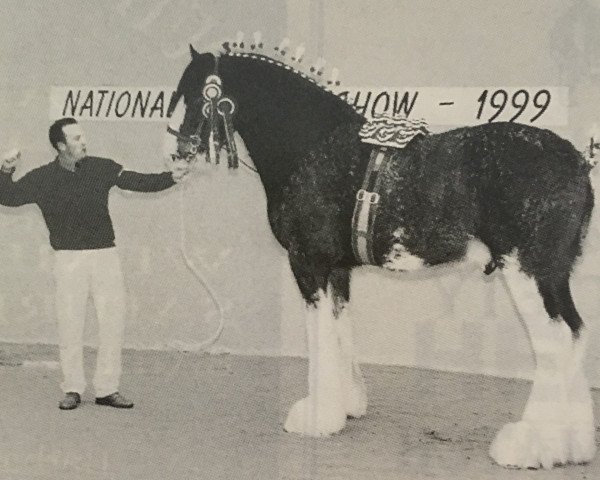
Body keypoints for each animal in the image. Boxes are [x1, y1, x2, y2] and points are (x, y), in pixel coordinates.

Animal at [163, 41, 596, 468]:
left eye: (194, 96)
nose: (176, 151)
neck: (312, 146)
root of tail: (578, 164)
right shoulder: (337, 270)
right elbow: (339, 328)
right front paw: (344, 405)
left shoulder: (308, 264)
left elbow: (319, 335)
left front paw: (316, 417)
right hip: (553, 276)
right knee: (575, 333)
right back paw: (573, 444)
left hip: (527, 271)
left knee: (556, 340)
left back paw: (528, 445)